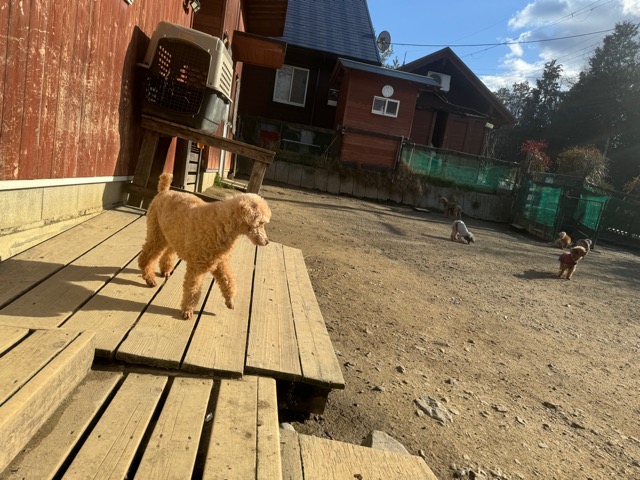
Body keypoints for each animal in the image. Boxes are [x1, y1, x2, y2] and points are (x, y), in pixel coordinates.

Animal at [138, 173, 271, 319]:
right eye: (260, 223)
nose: (267, 242)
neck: (222, 224)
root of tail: (164, 191)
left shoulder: (220, 262)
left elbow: (228, 280)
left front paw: (230, 301)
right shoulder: (197, 267)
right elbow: (193, 288)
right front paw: (187, 310)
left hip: (173, 234)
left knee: (168, 251)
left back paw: (166, 270)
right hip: (157, 233)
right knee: (145, 257)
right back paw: (149, 278)